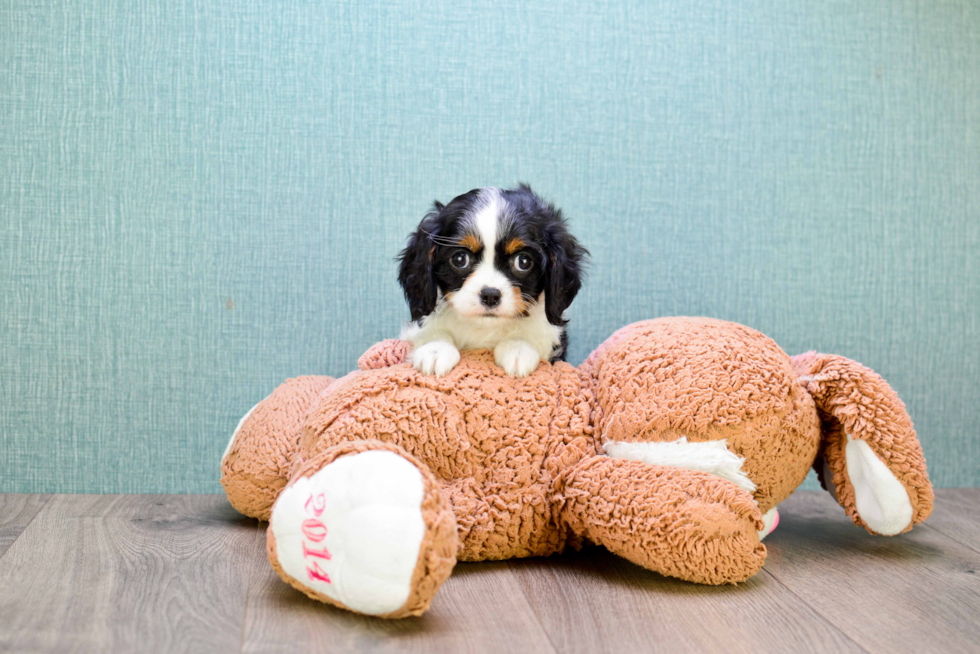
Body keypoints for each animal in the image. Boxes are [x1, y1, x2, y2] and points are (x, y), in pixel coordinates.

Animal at [396, 184, 584, 380]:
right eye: (460, 259)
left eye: (523, 261)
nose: (490, 295)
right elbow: (433, 331)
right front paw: (436, 349)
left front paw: (518, 348)